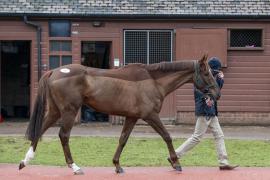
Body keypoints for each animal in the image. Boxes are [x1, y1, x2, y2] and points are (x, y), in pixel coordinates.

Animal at [20, 54, 220, 174]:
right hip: (69, 110)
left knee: (40, 129)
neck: (153, 81)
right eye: (207, 73)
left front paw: (117, 164)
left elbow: (123, 139)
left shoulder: (132, 117)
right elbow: (167, 136)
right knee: (63, 135)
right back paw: (74, 166)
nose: (216, 94)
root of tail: (54, 71)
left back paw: (25, 161)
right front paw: (175, 162)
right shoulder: (150, 115)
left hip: (55, 111)